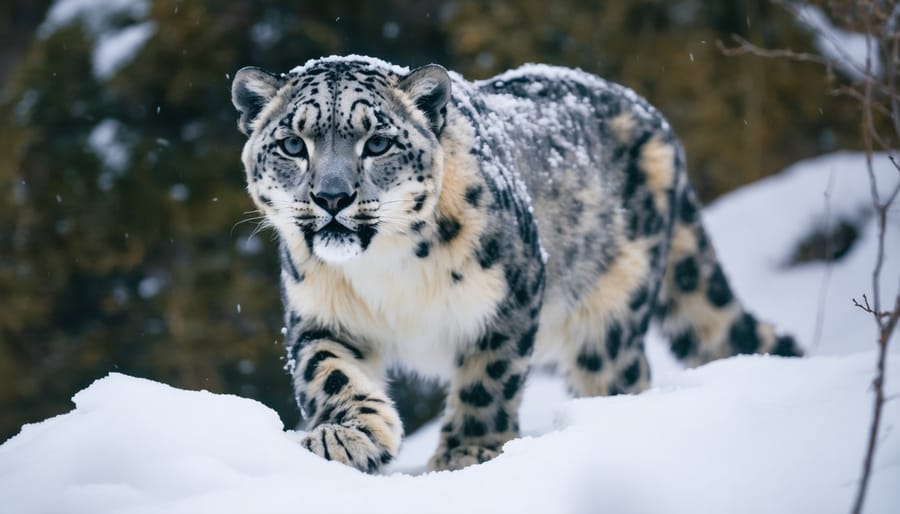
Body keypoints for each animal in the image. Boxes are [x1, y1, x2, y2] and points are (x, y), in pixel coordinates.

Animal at [230, 56, 800, 472]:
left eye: (378, 142)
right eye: (292, 144)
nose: (331, 197)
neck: (387, 268)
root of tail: (653, 115)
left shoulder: (510, 293)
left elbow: (489, 377)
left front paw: (468, 452)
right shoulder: (319, 312)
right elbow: (328, 373)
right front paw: (347, 437)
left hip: (612, 314)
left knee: (619, 372)